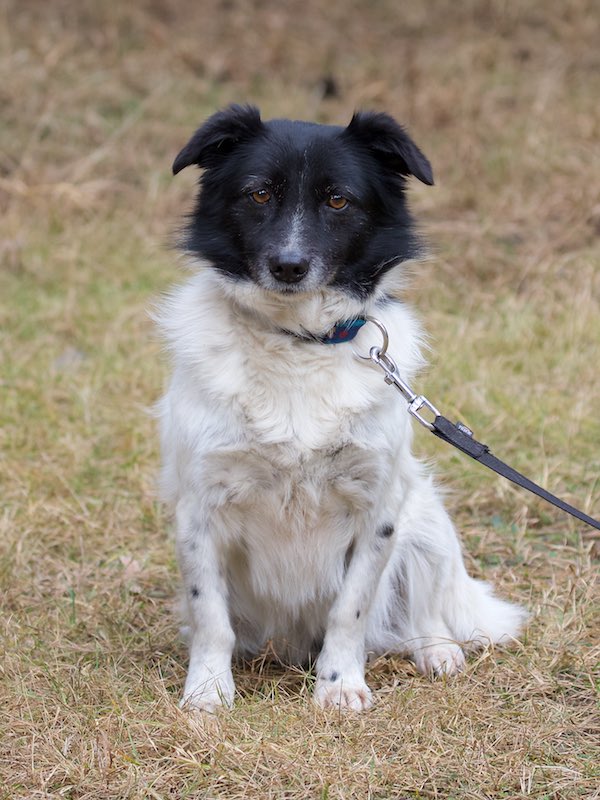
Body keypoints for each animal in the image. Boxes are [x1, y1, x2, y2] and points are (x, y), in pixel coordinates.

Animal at [155, 104, 526, 712]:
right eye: (259, 193)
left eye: (338, 201)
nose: (289, 265)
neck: (299, 344)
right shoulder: (199, 507)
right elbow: (209, 615)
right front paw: (208, 691)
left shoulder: (378, 510)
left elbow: (349, 610)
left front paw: (339, 684)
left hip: (425, 520)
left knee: (422, 611)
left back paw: (437, 651)